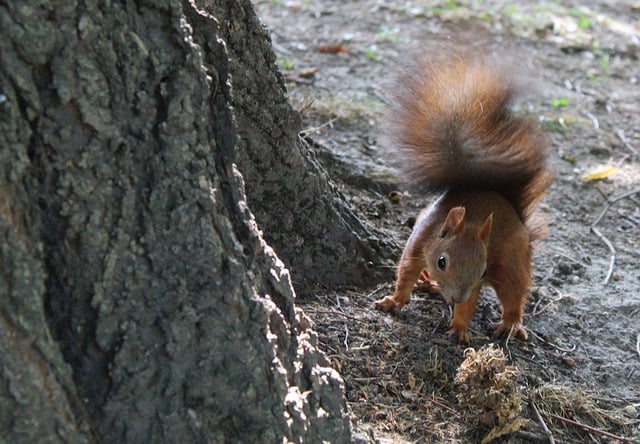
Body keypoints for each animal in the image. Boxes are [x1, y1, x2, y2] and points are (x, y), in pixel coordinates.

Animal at [376, 48, 556, 342]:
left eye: (483, 270)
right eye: (442, 262)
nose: (456, 297)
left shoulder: (477, 281)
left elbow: (471, 302)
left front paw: (460, 328)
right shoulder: (418, 242)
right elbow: (405, 273)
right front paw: (394, 300)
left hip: (512, 258)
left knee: (515, 293)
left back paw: (510, 323)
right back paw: (430, 283)